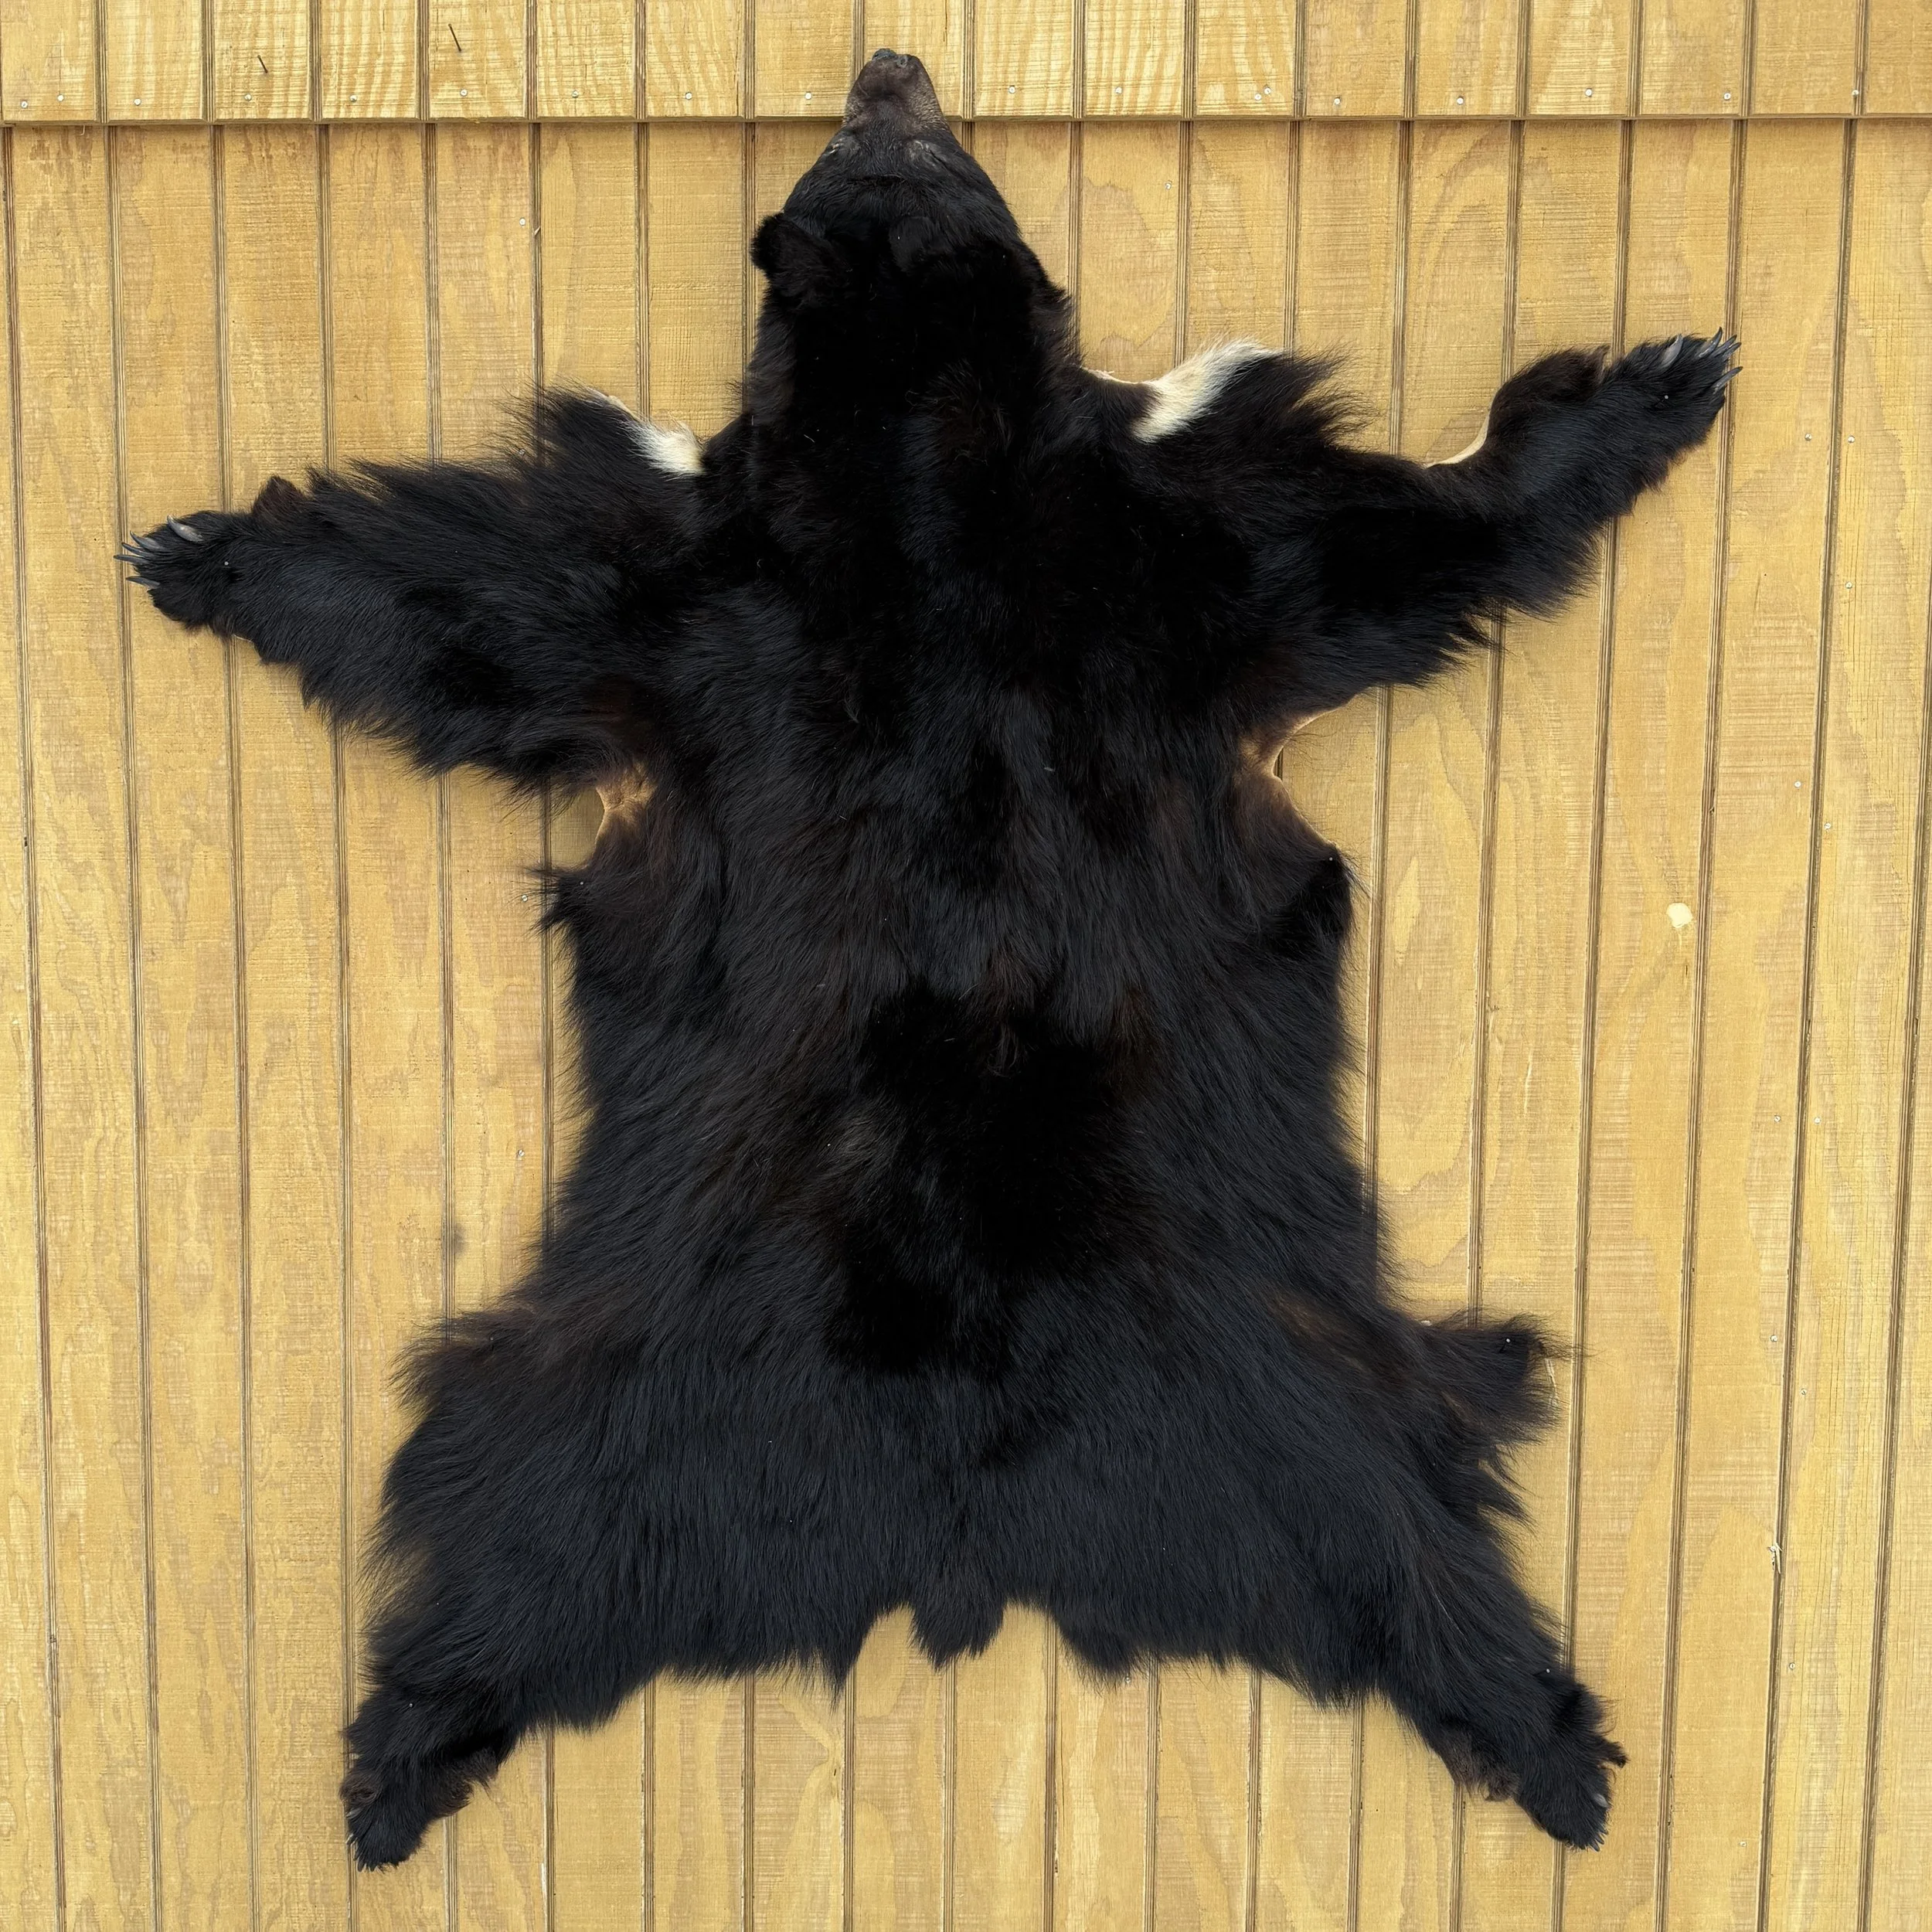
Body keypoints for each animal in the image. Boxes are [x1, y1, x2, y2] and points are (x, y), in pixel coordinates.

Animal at [125, 48, 1738, 1871]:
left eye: (925, 154)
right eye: (866, 152)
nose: (888, 67)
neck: (922, 460)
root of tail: (958, 1531)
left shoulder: (1158, 553)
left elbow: (1422, 532)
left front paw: (1664, 383)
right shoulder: (712, 580)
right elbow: (474, 600)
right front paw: (206, 552)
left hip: (1278, 1357)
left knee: (1398, 1519)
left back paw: (1545, 1738)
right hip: (630, 1373)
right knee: (515, 1526)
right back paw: (400, 1754)